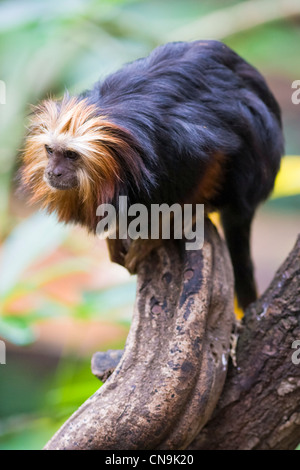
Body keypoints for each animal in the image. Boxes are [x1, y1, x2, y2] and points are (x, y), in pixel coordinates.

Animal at [20, 40, 284, 310]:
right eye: (50, 151)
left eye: (71, 155)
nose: (53, 172)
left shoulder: (188, 143)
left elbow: (209, 165)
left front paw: (163, 226)